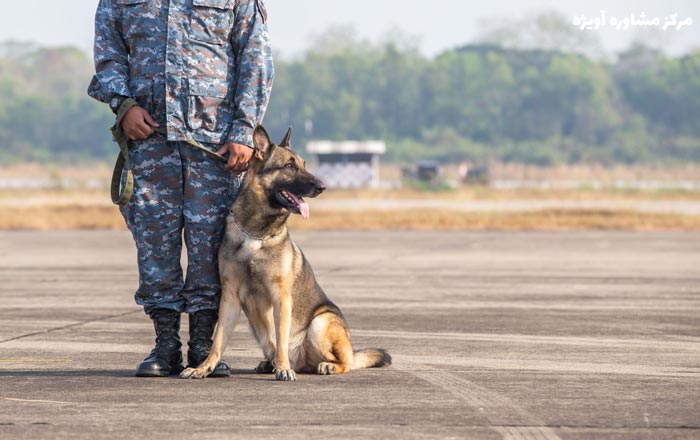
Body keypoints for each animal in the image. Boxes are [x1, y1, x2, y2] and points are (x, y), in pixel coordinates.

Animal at [179, 125, 388, 380]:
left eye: (304, 164)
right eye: (289, 166)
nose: (322, 186)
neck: (255, 234)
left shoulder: (281, 297)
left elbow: (281, 338)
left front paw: (283, 368)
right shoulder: (229, 297)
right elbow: (218, 340)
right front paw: (204, 367)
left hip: (320, 323)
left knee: (345, 362)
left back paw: (321, 365)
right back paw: (269, 364)